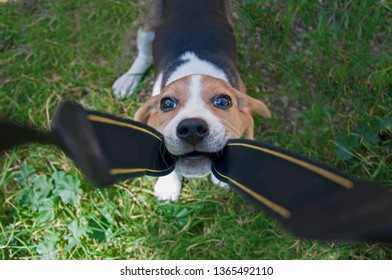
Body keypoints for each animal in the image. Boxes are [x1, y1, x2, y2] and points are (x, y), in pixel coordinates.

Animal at [110, 0, 270, 201]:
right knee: (144, 54)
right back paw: (128, 80)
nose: (192, 128)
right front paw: (168, 184)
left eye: (223, 102)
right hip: (149, 27)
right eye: (167, 104)